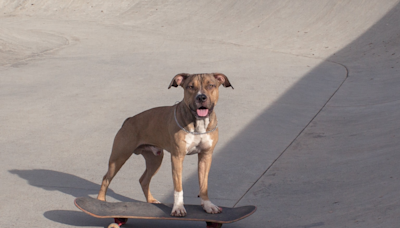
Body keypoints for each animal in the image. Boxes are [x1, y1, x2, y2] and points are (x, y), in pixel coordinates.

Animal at [97, 72, 233, 216]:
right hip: (119, 157)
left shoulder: (206, 156)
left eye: (211, 85)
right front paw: (178, 208)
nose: (201, 97)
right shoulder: (177, 157)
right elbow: (178, 187)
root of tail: (128, 120)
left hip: (155, 159)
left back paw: (151, 200)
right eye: (190, 87)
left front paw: (207, 205)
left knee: (144, 180)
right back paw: (100, 202)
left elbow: (204, 184)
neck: (198, 123)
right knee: (106, 178)